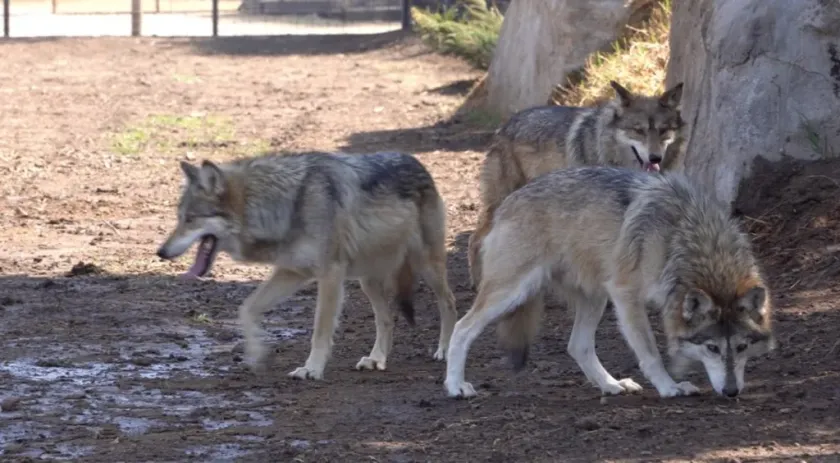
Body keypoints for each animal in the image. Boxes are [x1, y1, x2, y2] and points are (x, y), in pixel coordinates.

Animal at [156, 151, 458, 380]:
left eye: (190, 219)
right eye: (179, 218)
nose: (161, 252)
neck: (285, 204)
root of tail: (418, 162)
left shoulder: (329, 275)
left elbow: (320, 330)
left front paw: (311, 369)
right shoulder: (292, 272)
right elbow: (247, 309)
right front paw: (256, 355)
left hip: (426, 265)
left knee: (449, 302)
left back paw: (445, 350)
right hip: (367, 280)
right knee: (386, 319)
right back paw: (376, 359)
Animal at [445, 167, 776, 399]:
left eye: (742, 347)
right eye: (712, 348)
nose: (732, 392)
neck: (685, 238)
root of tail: (506, 202)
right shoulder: (626, 296)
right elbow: (650, 353)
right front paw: (669, 387)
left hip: (594, 297)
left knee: (577, 346)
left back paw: (611, 385)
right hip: (511, 292)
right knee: (461, 328)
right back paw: (456, 386)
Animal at [468, 81, 686, 288]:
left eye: (664, 130)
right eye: (638, 131)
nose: (655, 158)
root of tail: (505, 125)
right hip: (502, 201)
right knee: (477, 239)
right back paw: (479, 281)